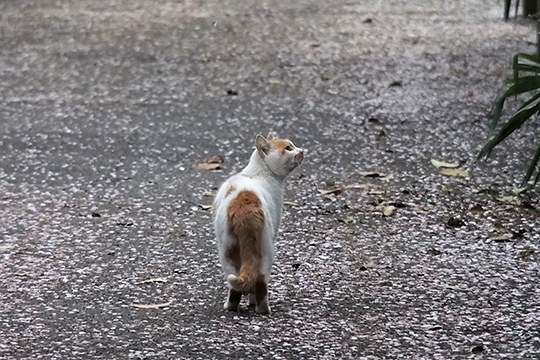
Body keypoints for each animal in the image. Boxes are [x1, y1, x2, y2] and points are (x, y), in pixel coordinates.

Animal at [212, 133, 304, 316]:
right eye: (288, 148)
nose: (302, 150)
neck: (258, 173)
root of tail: (245, 206)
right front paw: (251, 301)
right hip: (264, 247)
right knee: (259, 282)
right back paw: (261, 309)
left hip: (228, 250)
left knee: (240, 284)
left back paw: (234, 306)